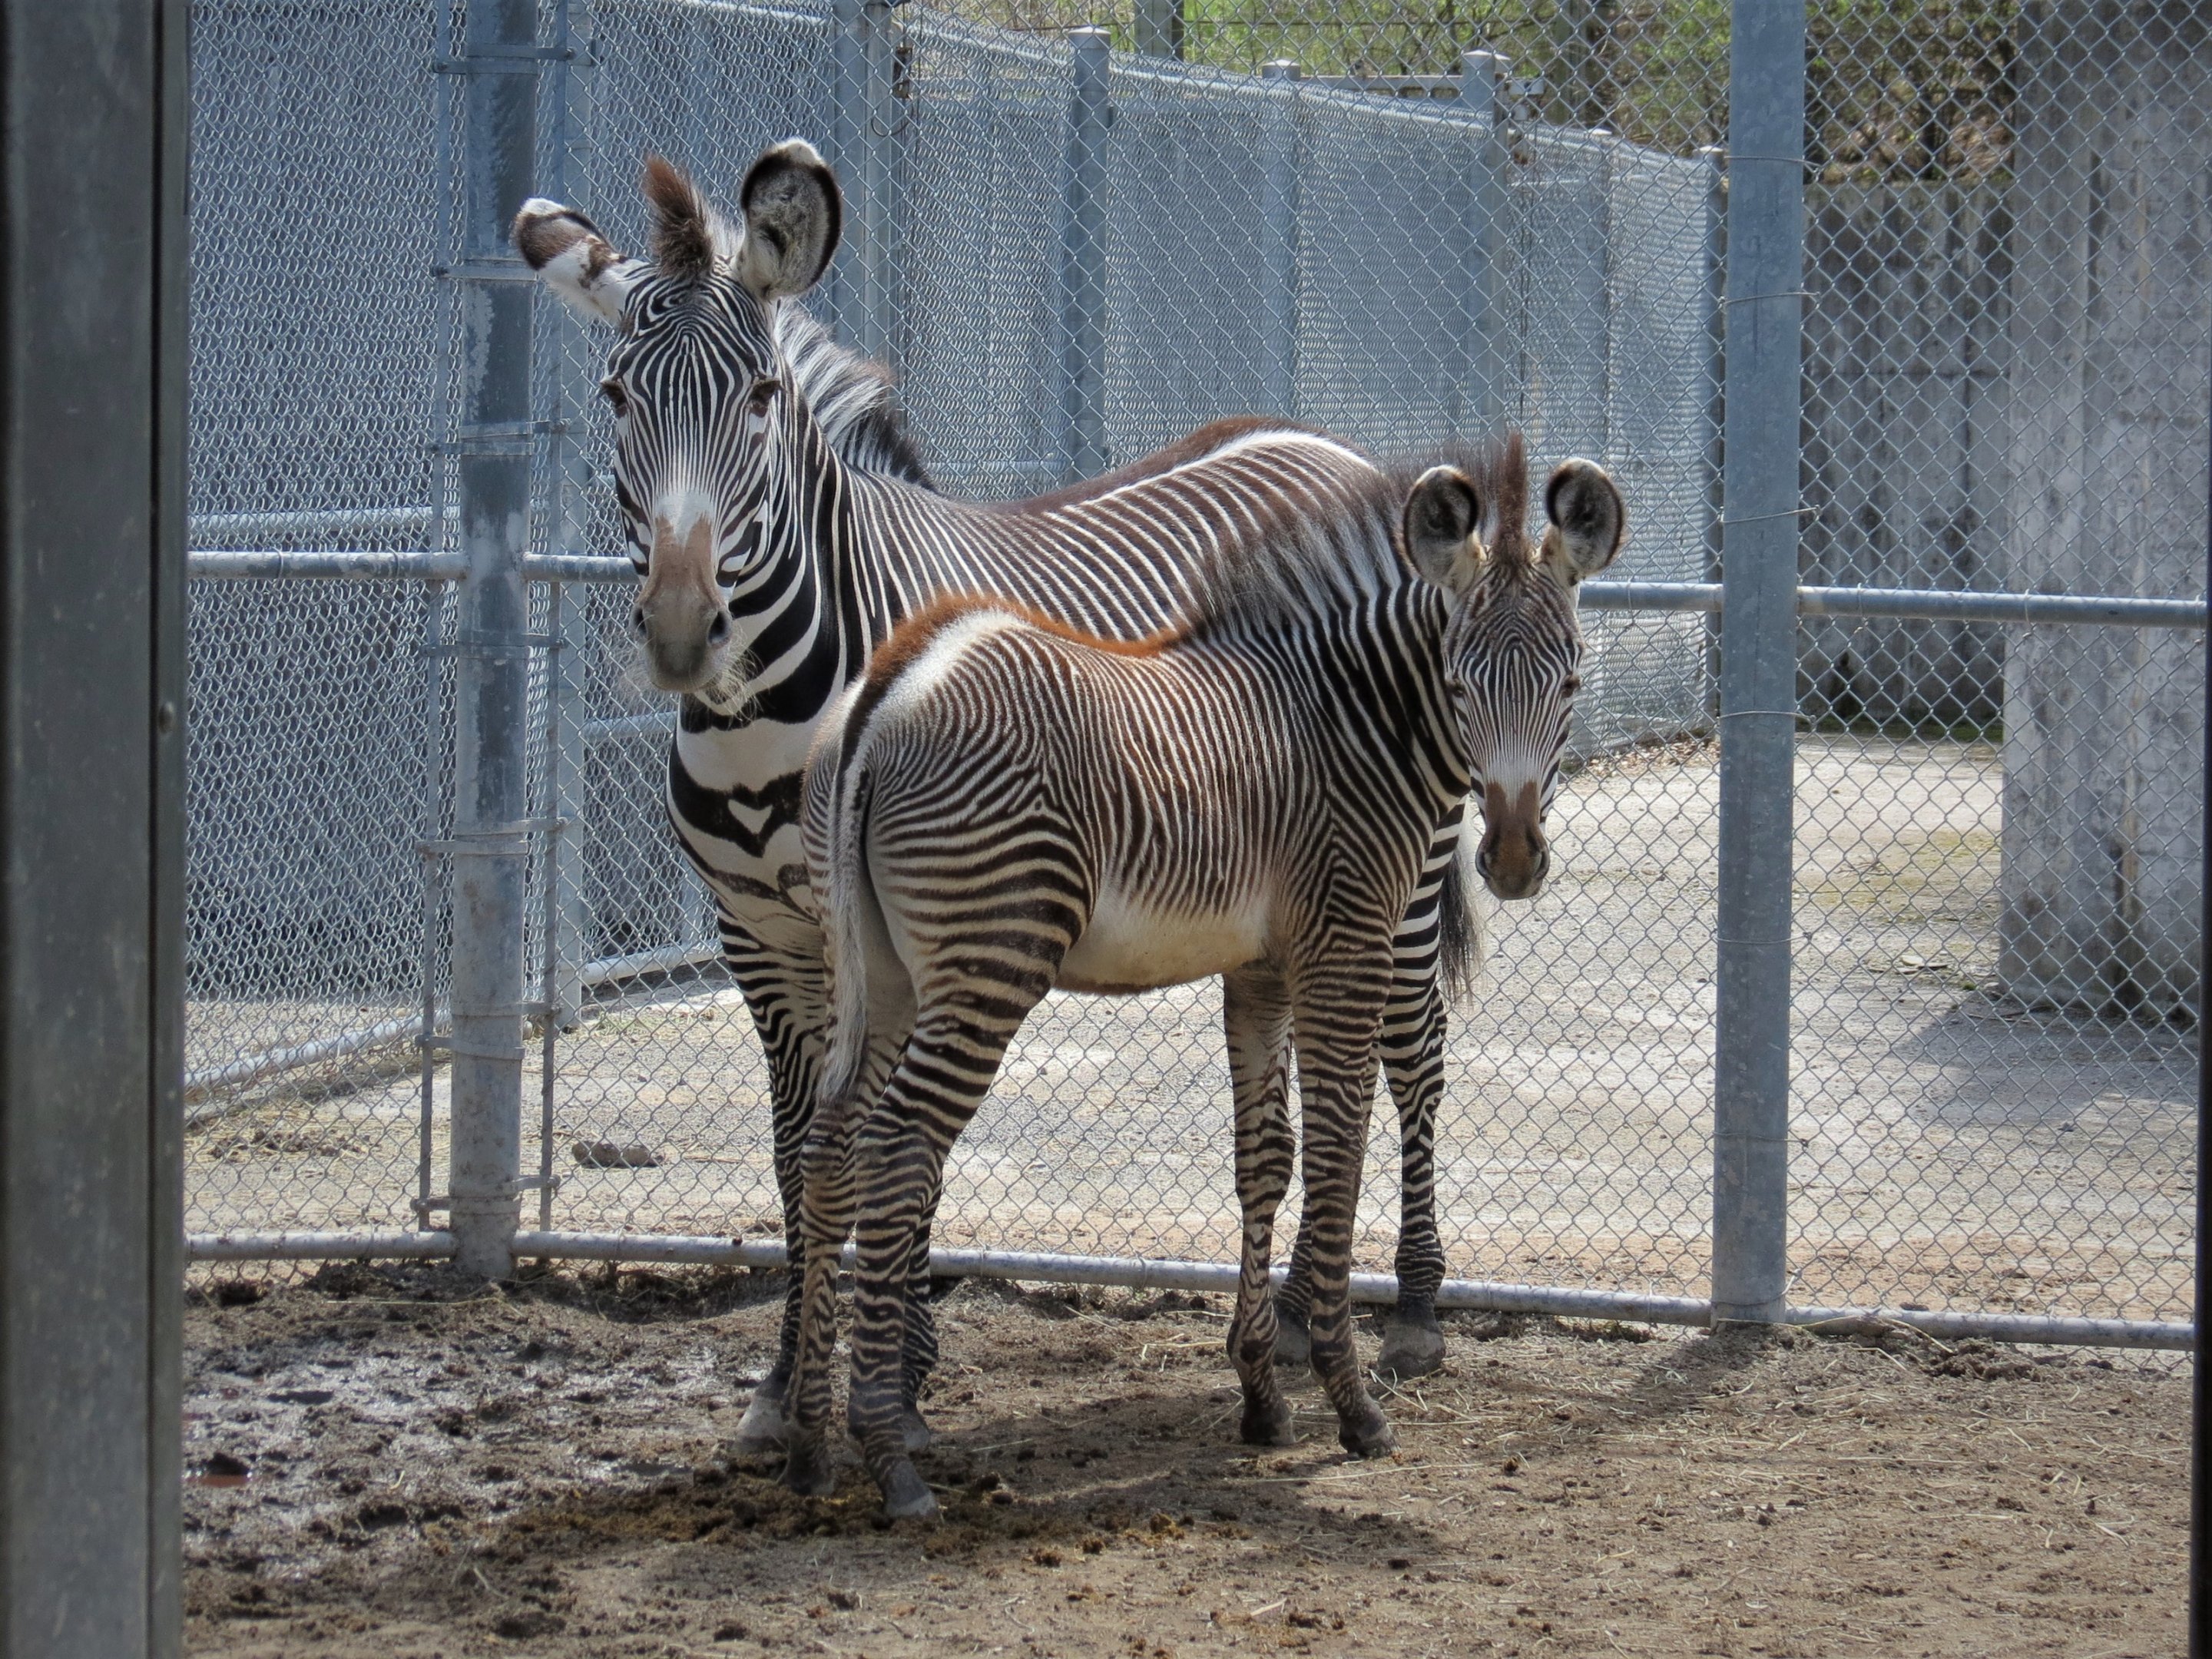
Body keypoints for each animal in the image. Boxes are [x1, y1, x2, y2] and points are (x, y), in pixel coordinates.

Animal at [512, 141, 1481, 1447]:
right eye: (617, 397)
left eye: (760, 397)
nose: (679, 630)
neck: (767, 716)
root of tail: (1323, 446)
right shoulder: (758, 935)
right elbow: (796, 1147)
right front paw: (787, 1380)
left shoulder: (882, 923)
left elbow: (874, 1142)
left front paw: (902, 1365)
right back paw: (1283, 1318)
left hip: (1410, 865)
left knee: (1410, 1049)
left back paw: (1417, 1310)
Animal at [795, 438, 1625, 1518]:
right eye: (1459, 681)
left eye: (1570, 679)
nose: (1516, 860)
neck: (1347, 717)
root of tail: (893, 687)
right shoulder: (1345, 944)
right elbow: (1338, 1155)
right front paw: (1351, 1406)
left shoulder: (1260, 969)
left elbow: (1263, 1158)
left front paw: (1260, 1394)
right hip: (988, 962)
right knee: (897, 1151)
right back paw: (889, 1454)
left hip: (883, 974)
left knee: (829, 1147)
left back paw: (807, 1444)